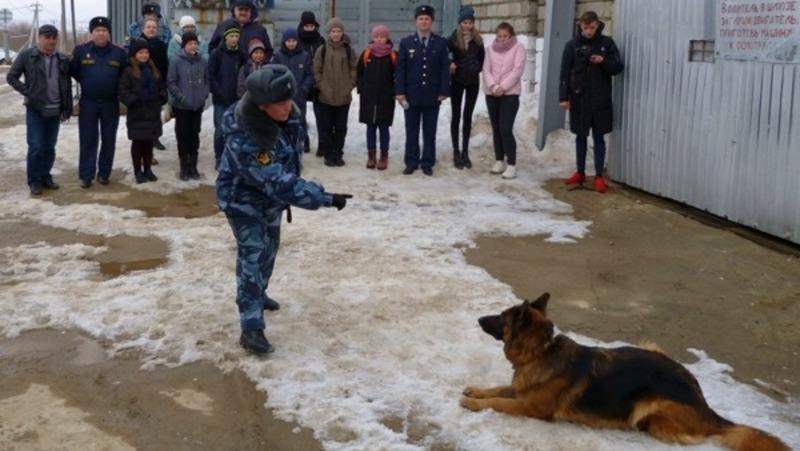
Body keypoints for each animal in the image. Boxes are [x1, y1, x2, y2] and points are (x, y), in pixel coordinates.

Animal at [460, 294, 792, 450]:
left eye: (500, 318)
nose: (477, 318)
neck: (541, 352)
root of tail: (706, 406)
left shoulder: (530, 407)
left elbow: (499, 401)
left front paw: (473, 402)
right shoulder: (521, 388)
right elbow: (497, 388)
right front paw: (476, 390)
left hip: (649, 403)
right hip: (652, 345)